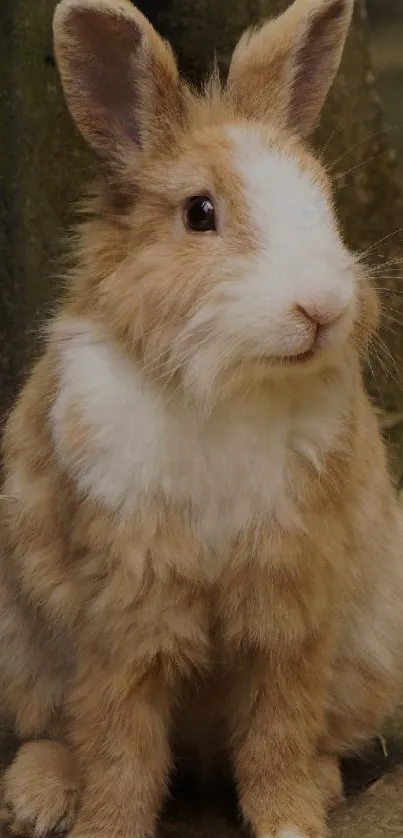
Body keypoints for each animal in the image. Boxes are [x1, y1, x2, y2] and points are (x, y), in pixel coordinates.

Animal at [0, 0, 403, 836]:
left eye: (323, 201)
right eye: (200, 213)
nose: (321, 307)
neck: (229, 386)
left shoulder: (290, 595)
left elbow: (278, 725)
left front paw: (289, 821)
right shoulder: (124, 603)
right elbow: (118, 738)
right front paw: (106, 827)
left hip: (373, 648)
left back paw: (321, 784)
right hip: (22, 648)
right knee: (56, 730)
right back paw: (37, 798)